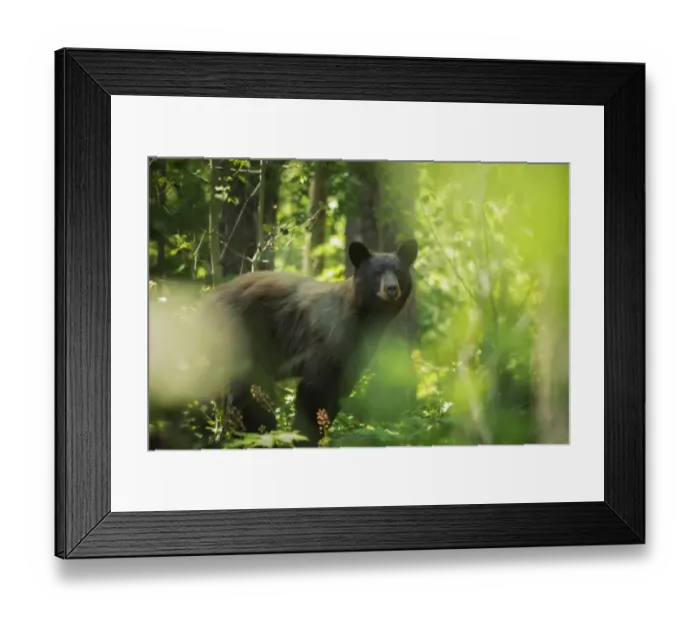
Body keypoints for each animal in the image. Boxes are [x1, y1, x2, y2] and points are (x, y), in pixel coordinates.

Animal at [202, 238, 419, 447]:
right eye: (376, 273)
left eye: (398, 272)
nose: (391, 288)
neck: (361, 317)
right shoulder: (328, 338)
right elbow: (315, 390)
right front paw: (303, 436)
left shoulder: (354, 354)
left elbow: (337, 392)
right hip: (235, 335)